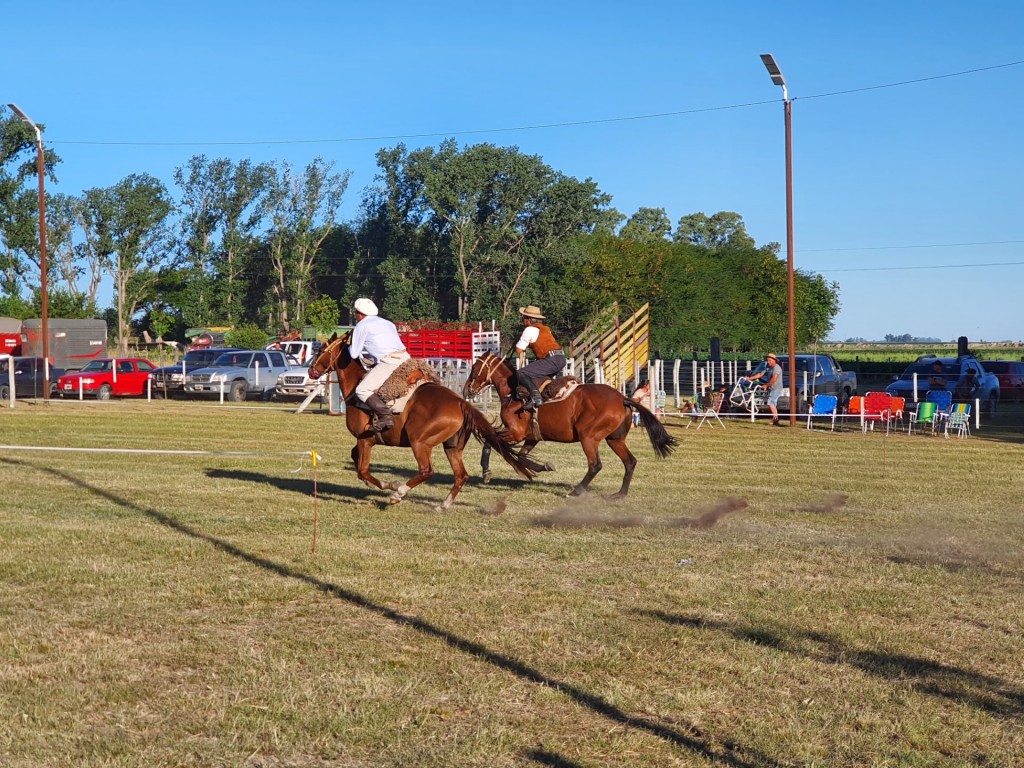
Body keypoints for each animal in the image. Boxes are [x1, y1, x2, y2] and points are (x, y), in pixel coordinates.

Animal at [305, 335, 540, 512]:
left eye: (320, 350)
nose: (310, 371)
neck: (357, 387)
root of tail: (461, 402)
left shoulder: (366, 440)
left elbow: (362, 469)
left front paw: (389, 485)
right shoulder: (363, 441)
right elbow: (356, 460)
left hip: (420, 441)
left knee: (426, 470)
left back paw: (398, 494)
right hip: (452, 446)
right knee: (460, 475)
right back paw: (442, 506)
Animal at [462, 354, 671, 499]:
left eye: (474, 368)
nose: (466, 391)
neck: (513, 393)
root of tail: (622, 398)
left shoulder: (516, 433)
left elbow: (490, 441)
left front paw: (486, 471)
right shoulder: (531, 437)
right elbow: (521, 457)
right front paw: (543, 466)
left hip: (589, 438)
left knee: (595, 465)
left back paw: (576, 492)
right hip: (615, 439)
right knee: (630, 462)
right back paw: (619, 494)